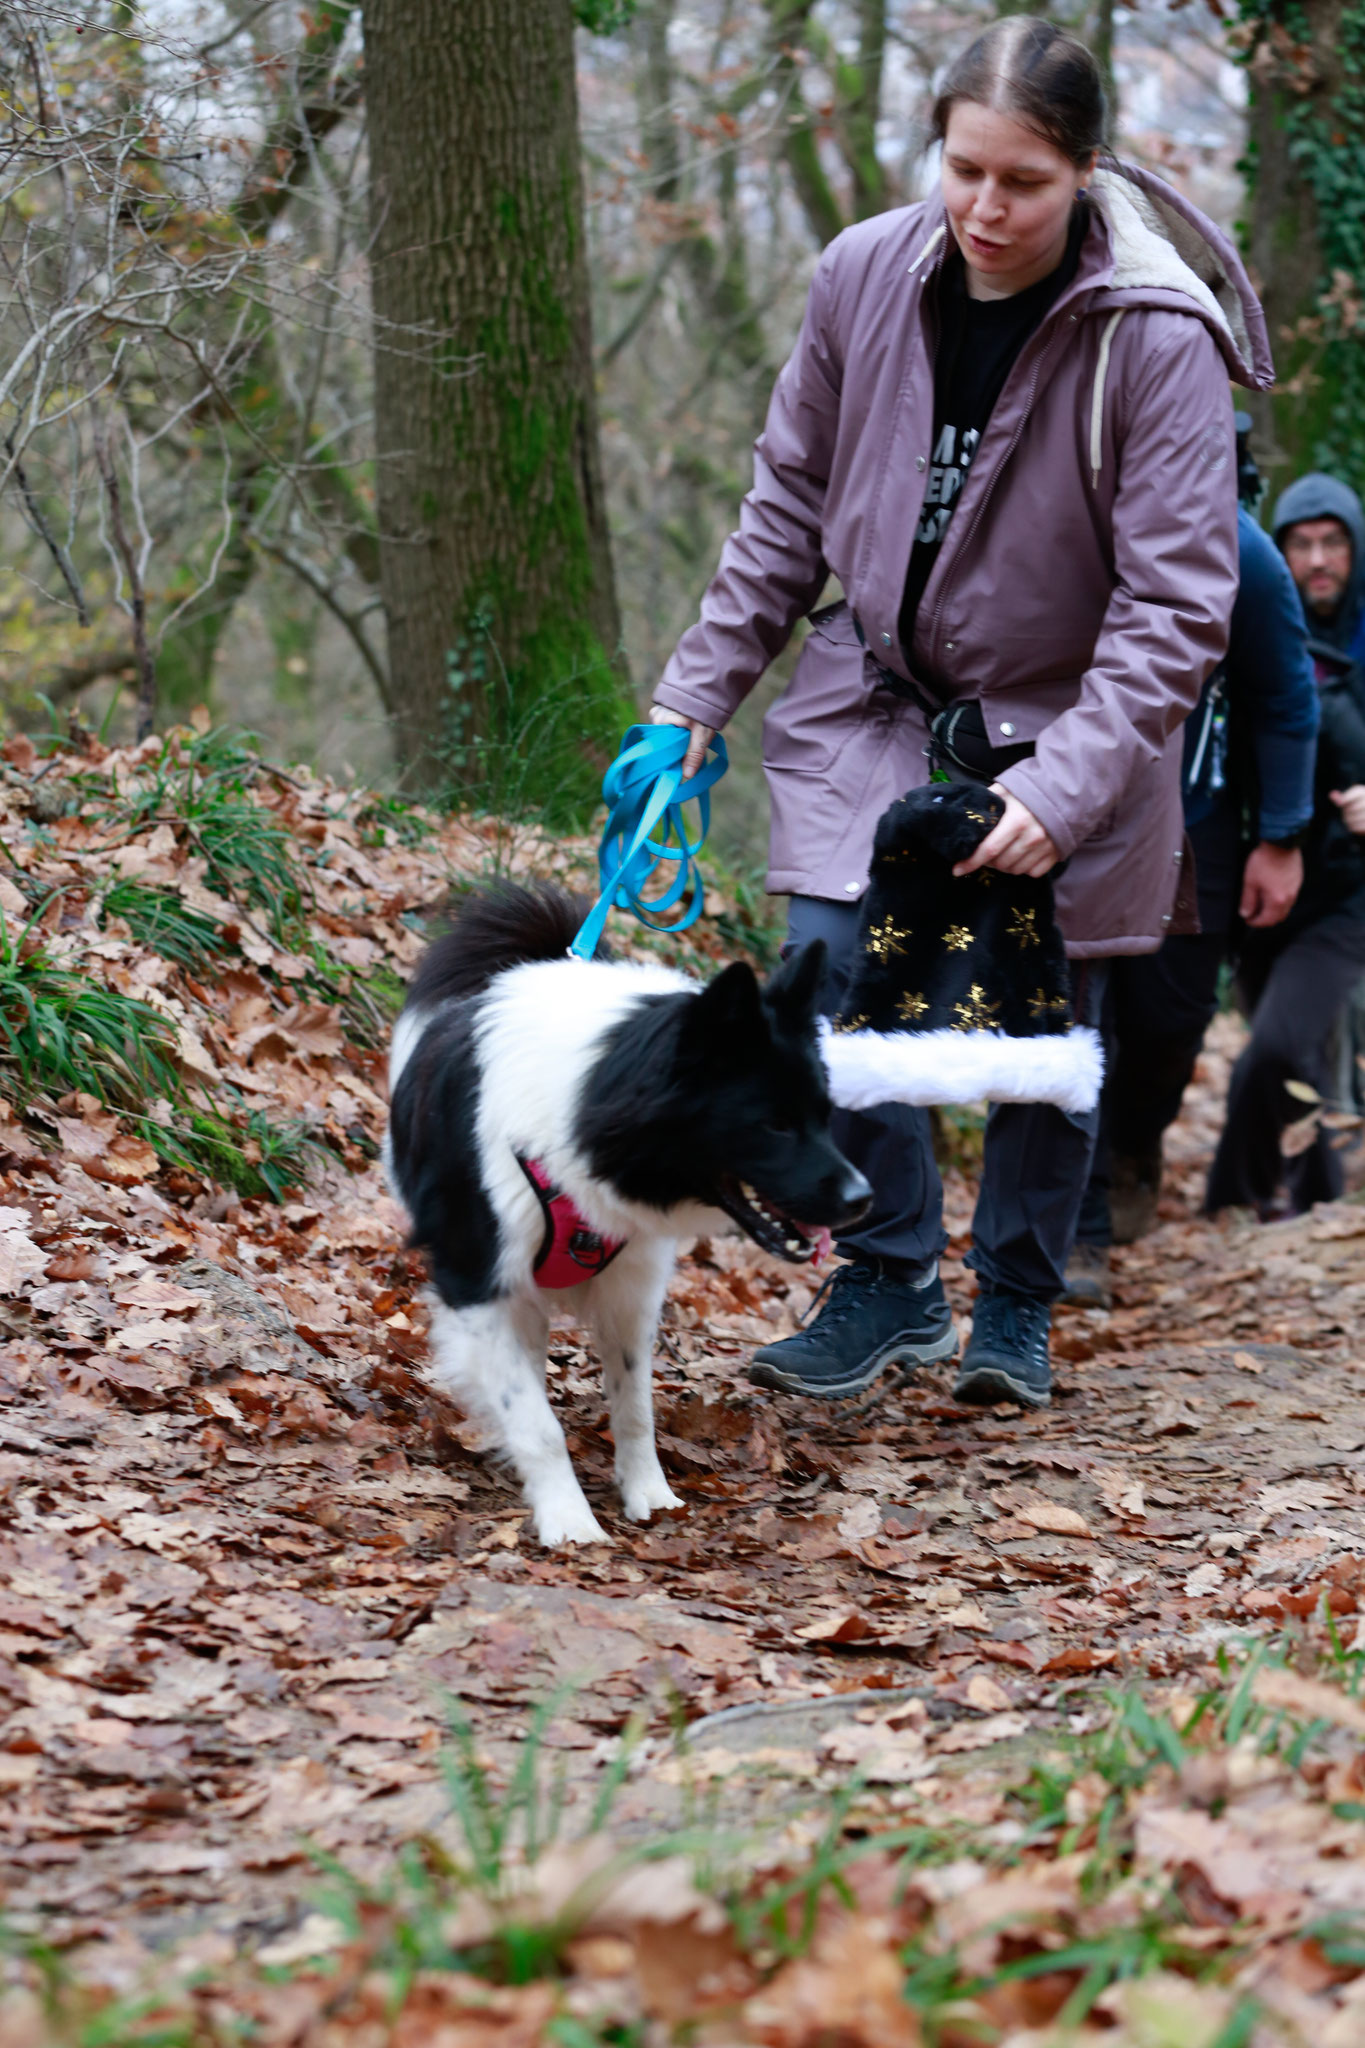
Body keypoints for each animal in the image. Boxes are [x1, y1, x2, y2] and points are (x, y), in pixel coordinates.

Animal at [384, 883, 871, 1545]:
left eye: (824, 1115)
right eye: (772, 1125)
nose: (862, 1199)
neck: (580, 1107)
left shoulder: (630, 1287)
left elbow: (635, 1404)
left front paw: (649, 1495)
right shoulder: (478, 1284)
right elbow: (535, 1421)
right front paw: (568, 1519)